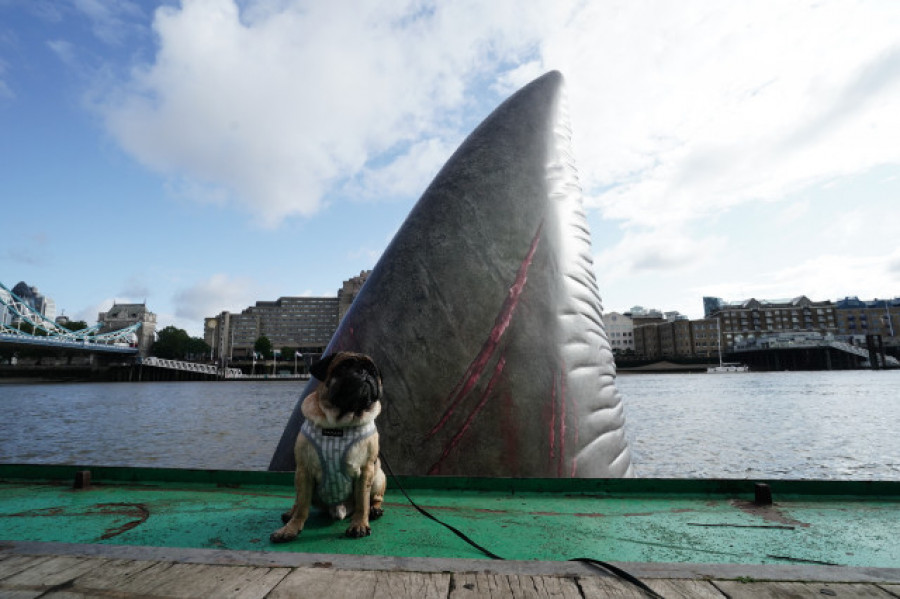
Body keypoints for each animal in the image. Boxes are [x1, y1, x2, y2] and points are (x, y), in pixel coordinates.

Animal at [268, 352, 384, 544]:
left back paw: (374, 510)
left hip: (378, 474)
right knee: (299, 501)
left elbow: (362, 502)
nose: (364, 372)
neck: (340, 424)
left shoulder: (366, 469)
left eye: (373, 371)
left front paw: (359, 525)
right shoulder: (304, 469)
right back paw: (290, 514)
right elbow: (302, 507)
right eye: (344, 366)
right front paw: (290, 529)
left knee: (374, 498)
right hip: (298, 477)